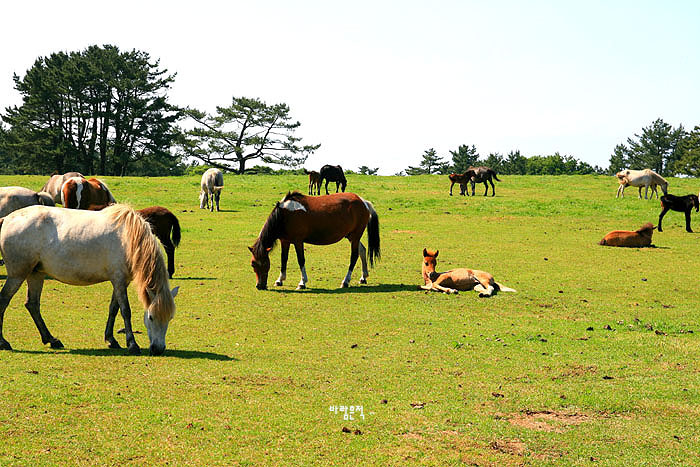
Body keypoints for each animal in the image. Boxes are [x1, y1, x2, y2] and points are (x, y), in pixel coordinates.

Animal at [0, 205, 179, 354]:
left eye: (170, 318)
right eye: (151, 317)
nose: (158, 349)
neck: (128, 238)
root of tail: (7, 218)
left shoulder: (121, 281)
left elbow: (113, 309)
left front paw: (111, 340)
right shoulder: (119, 280)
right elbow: (125, 311)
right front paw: (132, 344)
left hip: (35, 274)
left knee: (32, 304)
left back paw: (51, 340)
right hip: (18, 275)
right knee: (4, 300)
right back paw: (4, 343)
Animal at [249, 193, 380, 288]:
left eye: (264, 264)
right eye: (253, 264)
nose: (259, 286)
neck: (285, 215)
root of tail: (363, 202)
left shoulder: (298, 241)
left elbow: (301, 260)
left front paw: (302, 282)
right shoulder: (285, 241)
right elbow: (284, 260)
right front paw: (280, 280)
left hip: (355, 236)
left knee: (354, 256)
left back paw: (345, 281)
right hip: (351, 237)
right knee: (362, 251)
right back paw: (363, 277)